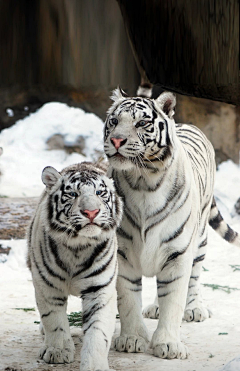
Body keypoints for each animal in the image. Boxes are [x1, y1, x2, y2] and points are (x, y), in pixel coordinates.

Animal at [27, 163, 123, 371]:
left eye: (99, 192)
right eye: (72, 194)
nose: (91, 212)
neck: (77, 247)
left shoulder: (100, 289)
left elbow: (98, 331)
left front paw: (94, 365)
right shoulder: (48, 287)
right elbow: (53, 320)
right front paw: (57, 351)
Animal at [103, 87, 240, 360]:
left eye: (141, 123)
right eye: (114, 121)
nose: (116, 141)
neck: (142, 181)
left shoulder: (177, 253)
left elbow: (174, 301)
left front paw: (168, 345)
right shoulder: (123, 254)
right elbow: (128, 300)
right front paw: (131, 339)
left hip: (199, 239)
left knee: (194, 276)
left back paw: (195, 309)